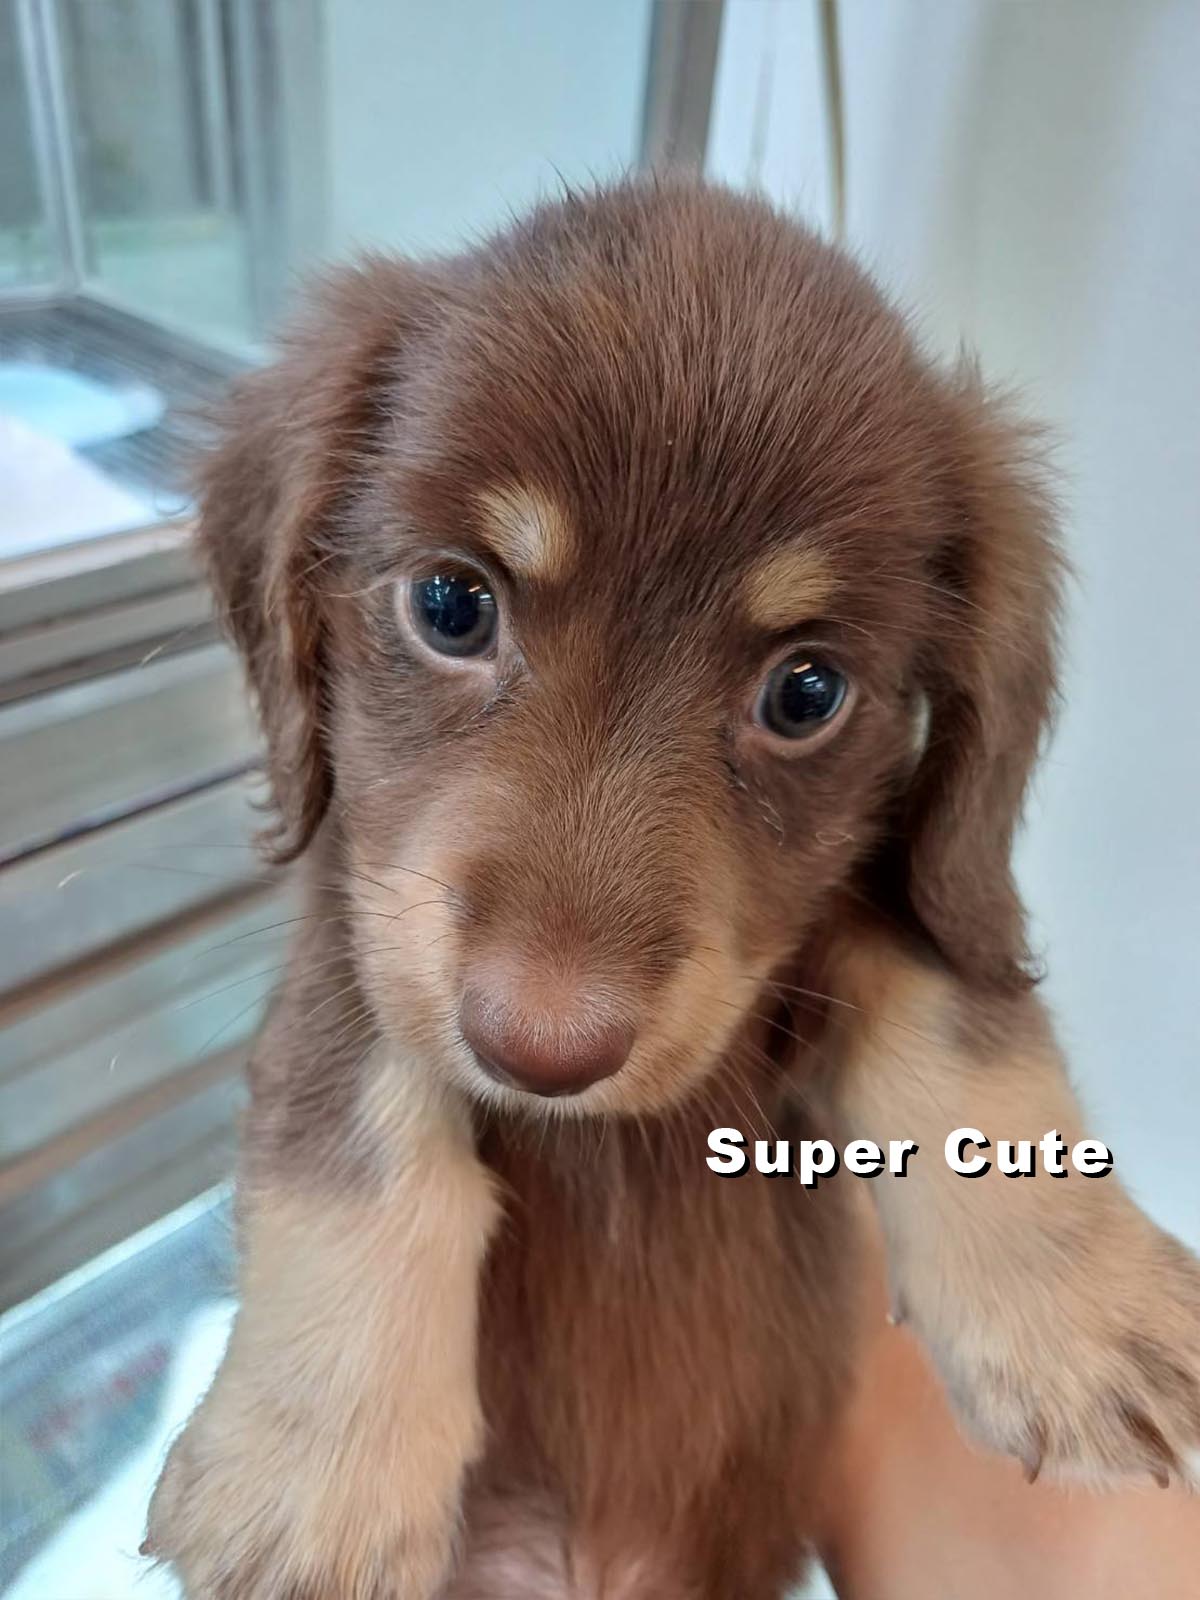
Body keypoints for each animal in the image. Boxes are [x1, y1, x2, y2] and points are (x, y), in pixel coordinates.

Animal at [146, 179, 1200, 1599]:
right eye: (450, 603)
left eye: (807, 691)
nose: (540, 1050)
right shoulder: (359, 919)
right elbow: (353, 1137)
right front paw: (313, 1475)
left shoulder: (896, 892)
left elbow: (956, 1014)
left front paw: (1080, 1305)